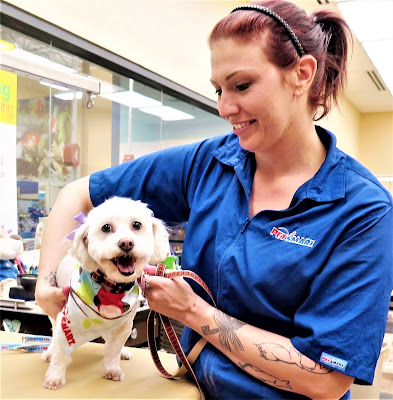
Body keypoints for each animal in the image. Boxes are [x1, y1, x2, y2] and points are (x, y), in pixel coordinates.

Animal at [42, 197, 169, 388]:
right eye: (106, 227)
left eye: (136, 225)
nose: (126, 243)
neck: (113, 287)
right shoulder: (64, 320)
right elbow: (61, 352)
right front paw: (55, 377)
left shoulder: (124, 325)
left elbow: (113, 350)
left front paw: (112, 369)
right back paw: (48, 353)